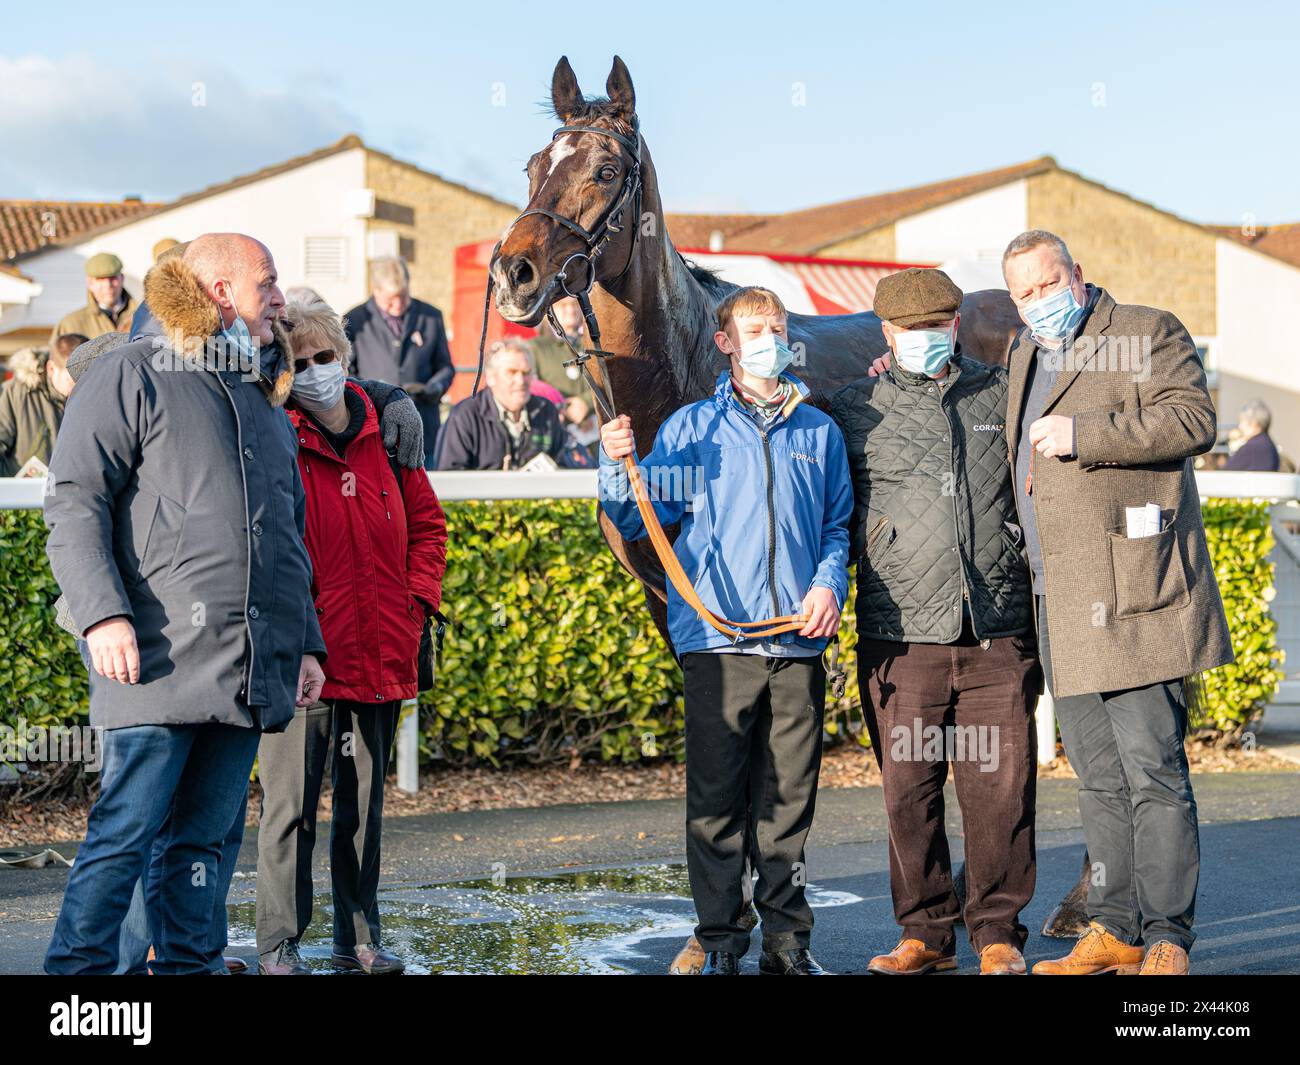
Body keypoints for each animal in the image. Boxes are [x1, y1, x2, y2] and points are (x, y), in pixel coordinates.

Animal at [488, 54, 1086, 967]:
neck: (690, 377)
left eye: (605, 170)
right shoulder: (673, 601)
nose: (514, 272)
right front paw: (715, 932)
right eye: (531, 166)